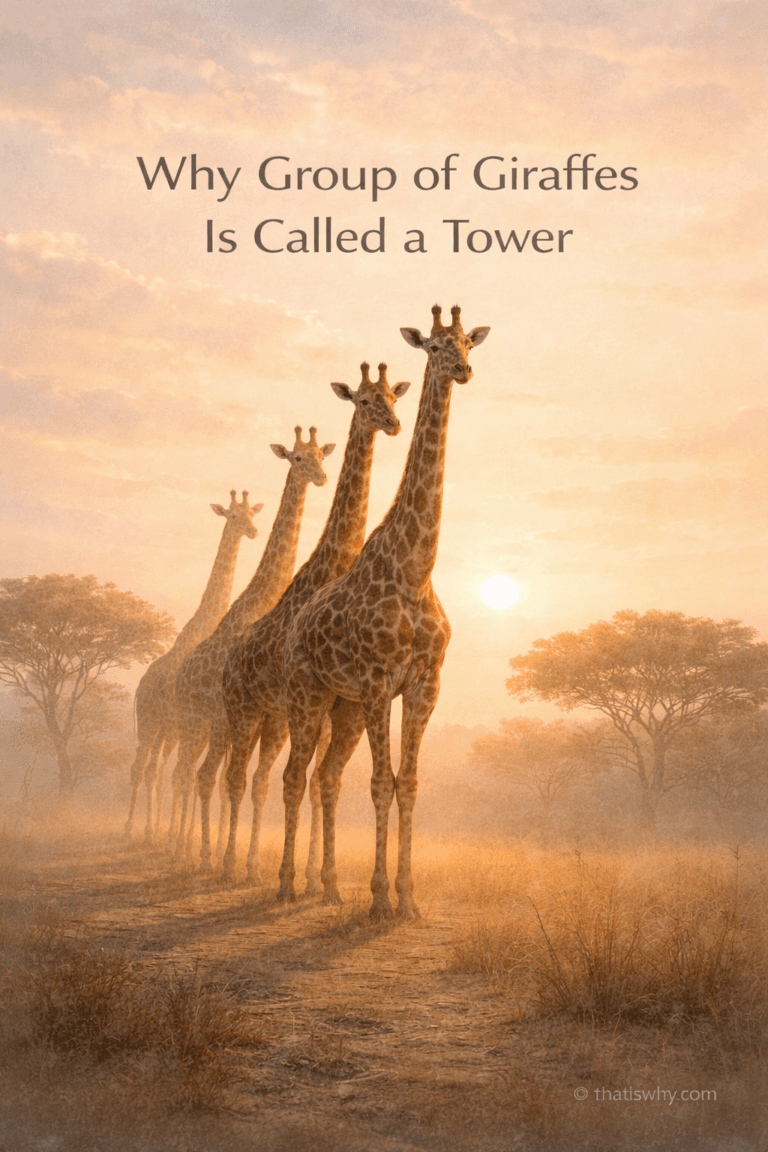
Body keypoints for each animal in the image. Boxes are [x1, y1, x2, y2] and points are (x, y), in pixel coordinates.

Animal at [123, 491, 262, 842]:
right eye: (233, 516)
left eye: (252, 515)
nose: (253, 531)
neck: (205, 624)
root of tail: (139, 687)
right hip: (151, 722)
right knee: (142, 768)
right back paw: (132, 829)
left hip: (167, 730)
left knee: (156, 771)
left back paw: (153, 829)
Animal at [168, 426, 334, 858]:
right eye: (297, 457)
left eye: (320, 456)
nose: (321, 478)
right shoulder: (234, 715)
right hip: (197, 722)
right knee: (190, 774)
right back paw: (188, 850)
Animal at [216, 363, 410, 883]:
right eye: (363, 400)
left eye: (392, 397)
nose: (392, 424)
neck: (332, 566)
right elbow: (303, 782)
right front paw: (303, 877)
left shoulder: (323, 709)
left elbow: (322, 784)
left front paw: (315, 879)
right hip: (246, 710)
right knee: (236, 777)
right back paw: (228, 865)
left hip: (272, 716)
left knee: (262, 778)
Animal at [278, 305, 489, 918]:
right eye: (436, 345)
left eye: (470, 342)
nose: (464, 370)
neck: (415, 571)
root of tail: (292, 632)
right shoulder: (377, 683)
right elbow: (380, 782)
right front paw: (378, 899)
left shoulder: (424, 684)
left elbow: (409, 783)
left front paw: (408, 899)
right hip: (308, 694)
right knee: (294, 775)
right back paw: (286, 884)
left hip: (342, 706)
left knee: (324, 776)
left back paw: (325, 885)